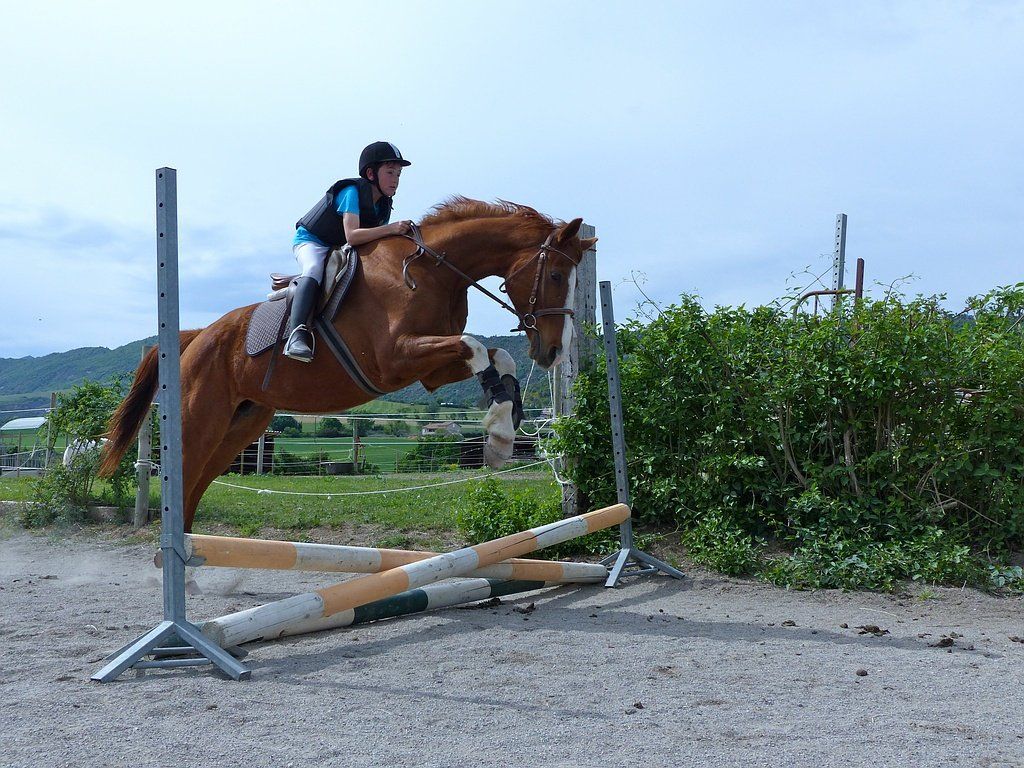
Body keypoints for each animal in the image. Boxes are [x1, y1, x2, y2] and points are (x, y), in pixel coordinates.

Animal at [98, 198, 597, 532]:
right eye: (556, 275)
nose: (554, 351)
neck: (434, 271)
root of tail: (196, 337)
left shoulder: (429, 371)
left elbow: (495, 355)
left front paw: (502, 432)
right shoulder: (397, 358)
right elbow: (476, 346)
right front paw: (498, 432)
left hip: (242, 425)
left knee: (197, 484)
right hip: (201, 418)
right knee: (182, 476)